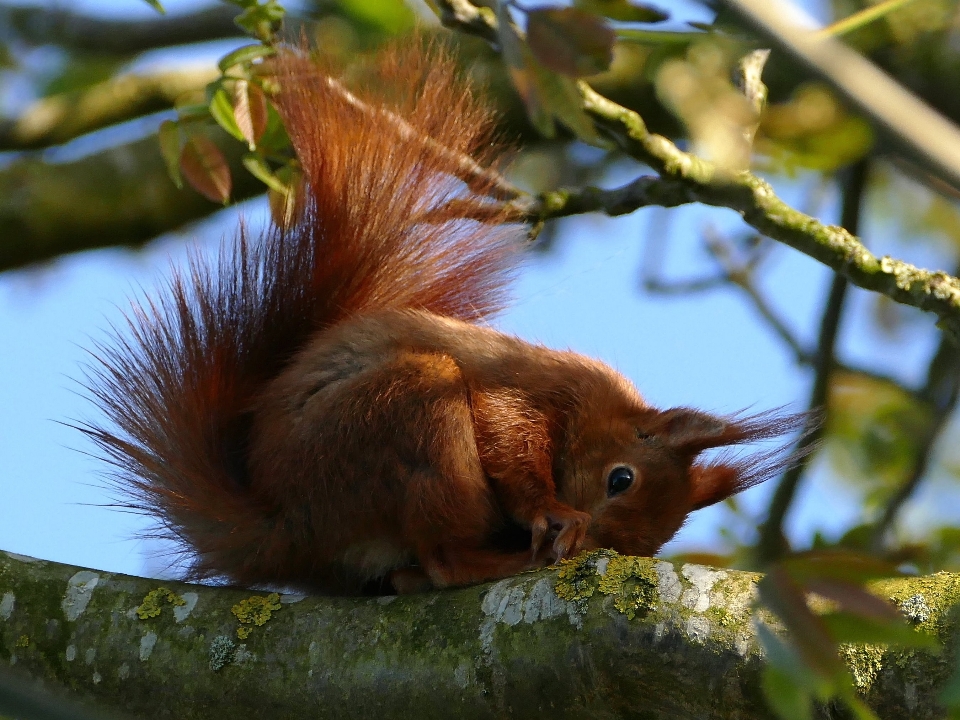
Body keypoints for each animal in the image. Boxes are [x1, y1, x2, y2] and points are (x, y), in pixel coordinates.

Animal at [84, 43, 804, 596]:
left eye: (642, 547)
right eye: (620, 479)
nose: (576, 547)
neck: (598, 406)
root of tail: (285, 529)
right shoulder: (531, 389)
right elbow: (508, 437)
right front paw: (551, 511)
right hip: (401, 413)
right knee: (445, 556)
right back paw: (497, 561)